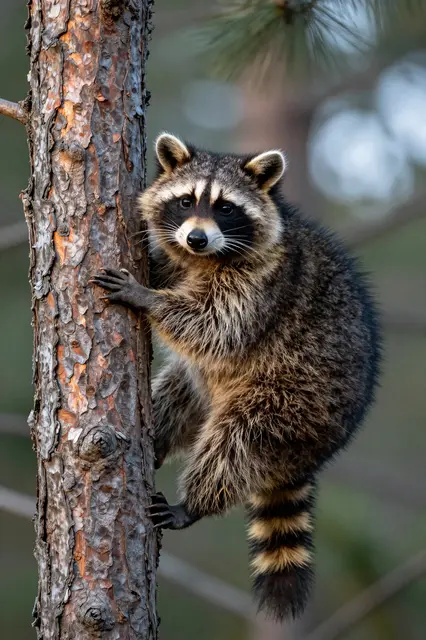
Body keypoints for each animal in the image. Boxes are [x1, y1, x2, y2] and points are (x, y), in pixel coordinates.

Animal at [92, 133, 381, 621]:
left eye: (226, 207)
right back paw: (157, 442)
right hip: (212, 390)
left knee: (236, 442)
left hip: (291, 399)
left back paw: (194, 502)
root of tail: (310, 453)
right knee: (177, 392)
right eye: (186, 201)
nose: (196, 238)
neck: (207, 258)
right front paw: (155, 267)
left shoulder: (264, 283)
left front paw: (147, 297)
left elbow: (217, 325)